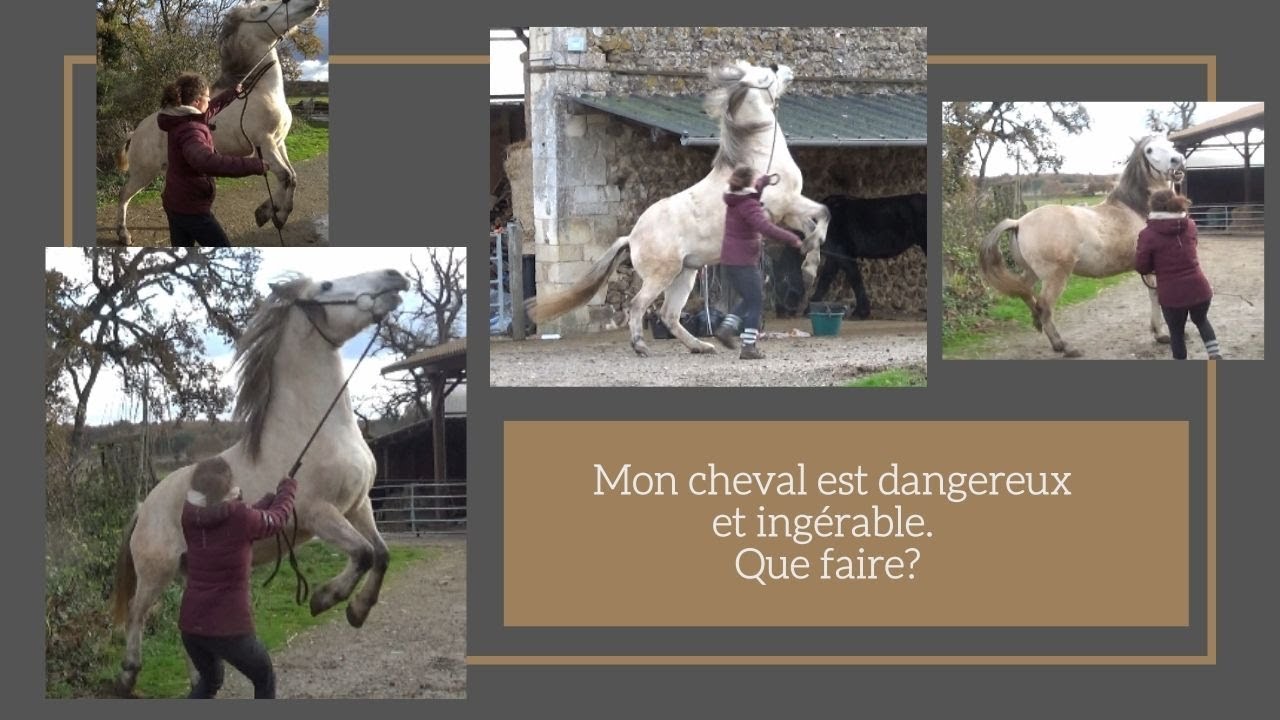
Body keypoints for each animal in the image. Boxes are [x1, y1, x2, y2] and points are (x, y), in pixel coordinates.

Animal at [108, 266, 409, 696]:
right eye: (327, 286)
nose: (395, 276)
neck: (314, 429)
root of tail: (143, 507)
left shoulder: (358, 506)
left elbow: (381, 555)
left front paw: (356, 611)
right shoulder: (320, 514)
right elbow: (364, 554)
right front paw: (323, 599)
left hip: (187, 572)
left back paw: (198, 678)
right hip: (156, 573)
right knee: (136, 613)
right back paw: (128, 674)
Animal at [113, 0, 321, 245]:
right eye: (263, 9)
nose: (314, 4)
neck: (262, 91)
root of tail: (134, 133)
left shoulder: (280, 144)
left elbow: (293, 177)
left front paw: (278, 215)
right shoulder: (265, 144)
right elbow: (285, 177)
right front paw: (267, 214)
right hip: (143, 173)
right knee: (124, 196)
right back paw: (123, 234)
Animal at [528, 60, 831, 357]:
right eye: (767, 74)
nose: (786, 68)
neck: (757, 158)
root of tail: (632, 237)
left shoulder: (788, 211)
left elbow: (814, 224)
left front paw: (809, 266)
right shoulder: (787, 203)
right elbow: (824, 213)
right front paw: (809, 260)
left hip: (685, 274)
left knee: (669, 314)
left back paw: (701, 346)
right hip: (662, 276)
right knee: (639, 306)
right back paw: (641, 346)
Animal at [980, 133, 1185, 357]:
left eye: (1170, 143)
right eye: (1149, 150)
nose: (1178, 160)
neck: (1136, 209)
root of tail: (1019, 222)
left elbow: (1153, 295)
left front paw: (1158, 333)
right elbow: (1156, 296)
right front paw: (1162, 334)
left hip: (1032, 273)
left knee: (1025, 293)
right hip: (1055, 277)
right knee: (1044, 306)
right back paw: (1064, 346)